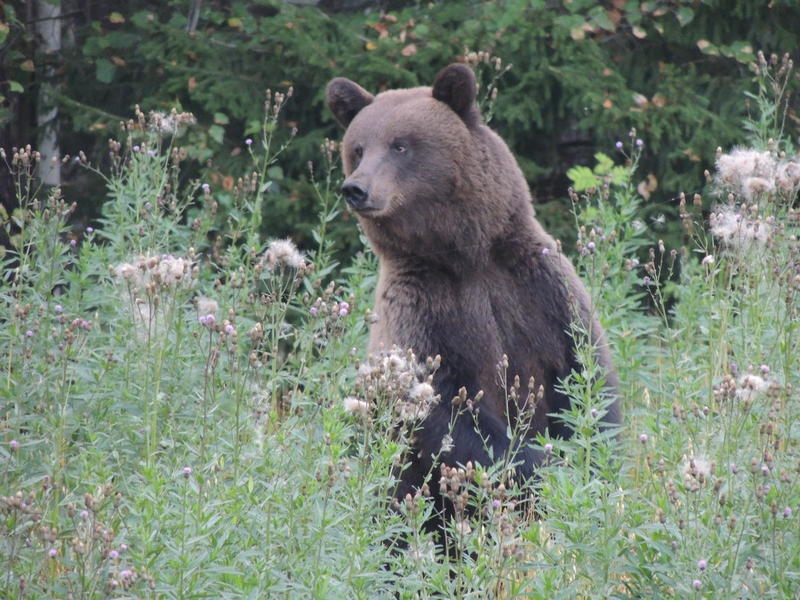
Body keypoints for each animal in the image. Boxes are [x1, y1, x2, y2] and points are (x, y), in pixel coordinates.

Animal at [326, 63, 620, 521]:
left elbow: (584, 373)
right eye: (357, 148)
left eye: (400, 145)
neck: (466, 257)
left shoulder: (537, 289)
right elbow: (447, 410)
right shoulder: (423, 309)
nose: (356, 188)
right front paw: (537, 468)